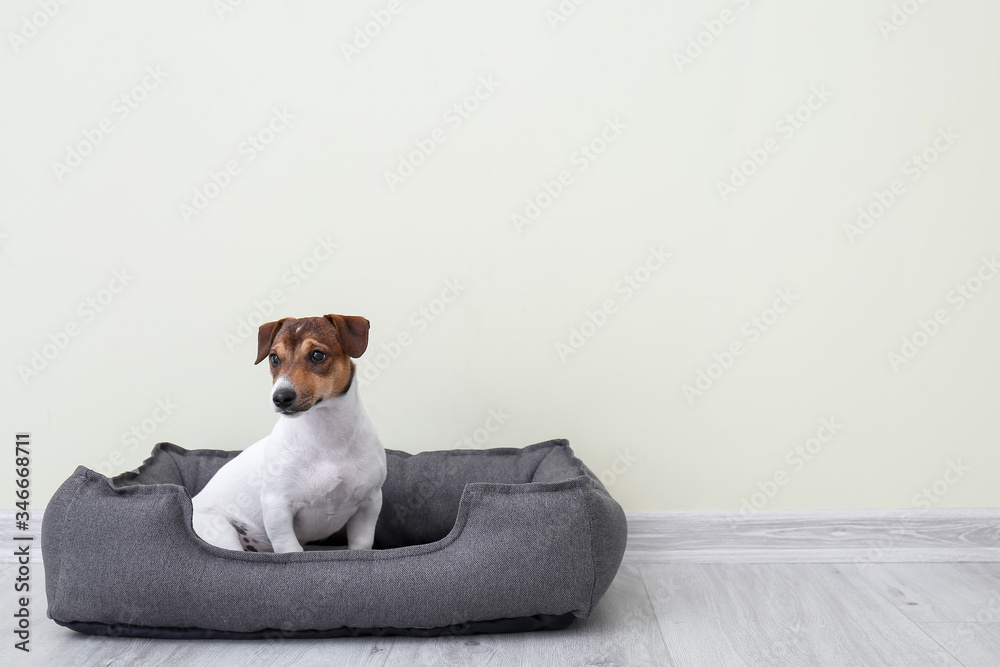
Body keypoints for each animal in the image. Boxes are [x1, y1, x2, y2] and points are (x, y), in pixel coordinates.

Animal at [191, 314, 386, 552]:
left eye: (317, 355)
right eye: (274, 358)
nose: (280, 397)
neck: (327, 436)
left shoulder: (370, 503)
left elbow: (361, 545)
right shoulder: (277, 507)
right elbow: (290, 548)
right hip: (221, 532)